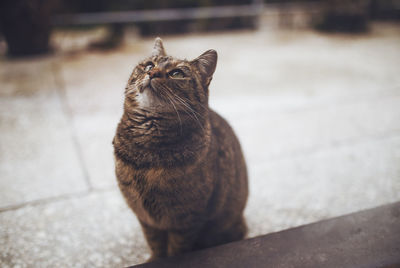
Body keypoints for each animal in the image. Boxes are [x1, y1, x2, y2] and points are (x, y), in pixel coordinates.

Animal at [112, 37, 248, 262]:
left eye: (177, 73)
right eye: (148, 65)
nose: (152, 73)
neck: (146, 155)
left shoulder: (186, 219)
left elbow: (177, 247)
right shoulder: (146, 218)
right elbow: (155, 243)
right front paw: (155, 258)